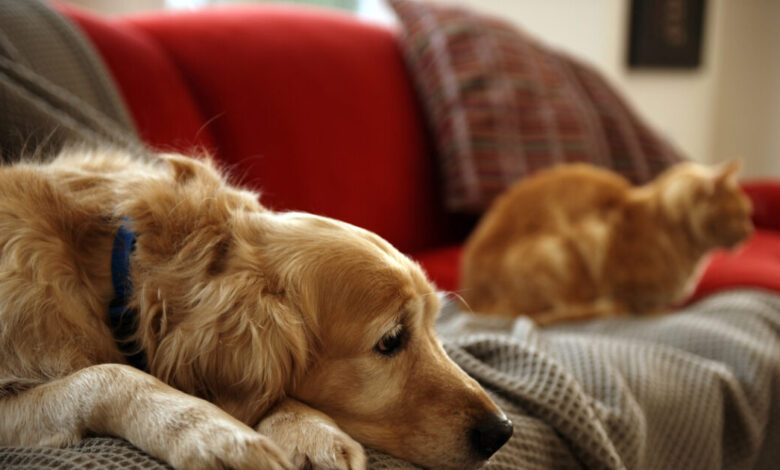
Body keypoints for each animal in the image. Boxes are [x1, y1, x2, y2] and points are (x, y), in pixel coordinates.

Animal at [0, 149, 512, 468]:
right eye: (390, 340)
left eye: (434, 324)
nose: (502, 431)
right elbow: (109, 375)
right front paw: (215, 435)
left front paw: (308, 431)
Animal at [460, 161, 752, 324]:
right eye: (740, 215)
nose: (750, 232)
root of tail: (472, 299)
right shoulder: (600, 240)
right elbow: (638, 302)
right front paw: (654, 312)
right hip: (555, 252)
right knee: (564, 310)